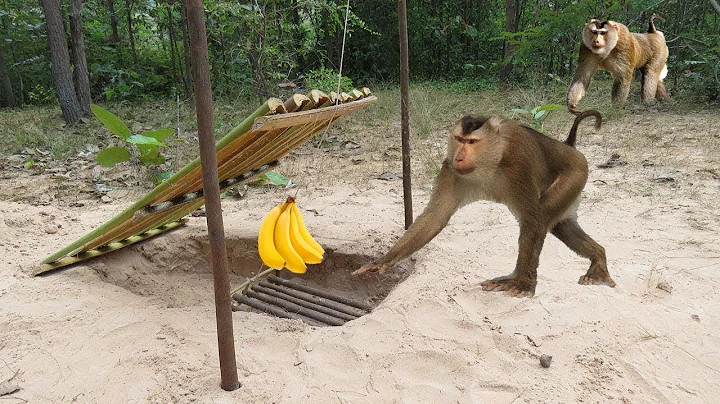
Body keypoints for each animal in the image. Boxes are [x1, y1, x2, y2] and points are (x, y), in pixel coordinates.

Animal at [353, 111, 616, 297]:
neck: (490, 160)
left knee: (543, 218)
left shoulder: (518, 164)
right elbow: (435, 217)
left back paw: (520, 275)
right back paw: (599, 257)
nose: (459, 156)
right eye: (459, 139)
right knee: (561, 225)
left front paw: (523, 283)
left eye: (471, 142)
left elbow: (532, 219)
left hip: (576, 173)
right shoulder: (450, 169)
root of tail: (568, 146)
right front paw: (385, 260)